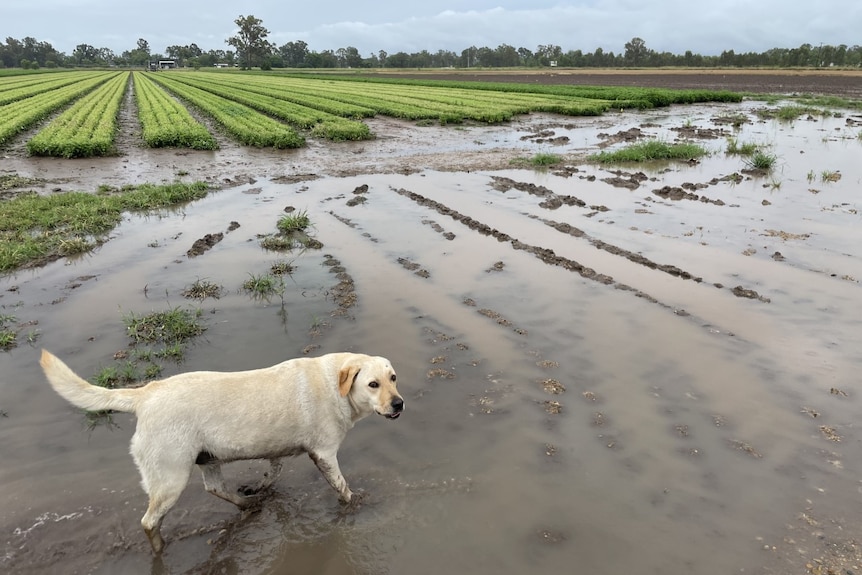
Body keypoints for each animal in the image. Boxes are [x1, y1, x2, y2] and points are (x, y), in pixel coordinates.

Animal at [39, 348, 404, 556]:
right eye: (373, 384)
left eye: (394, 378)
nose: (399, 404)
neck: (336, 385)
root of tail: (145, 394)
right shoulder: (325, 454)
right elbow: (341, 487)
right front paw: (355, 503)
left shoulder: (278, 447)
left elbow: (274, 470)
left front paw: (260, 487)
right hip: (171, 477)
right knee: (149, 521)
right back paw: (160, 548)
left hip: (207, 458)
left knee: (214, 488)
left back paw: (247, 504)